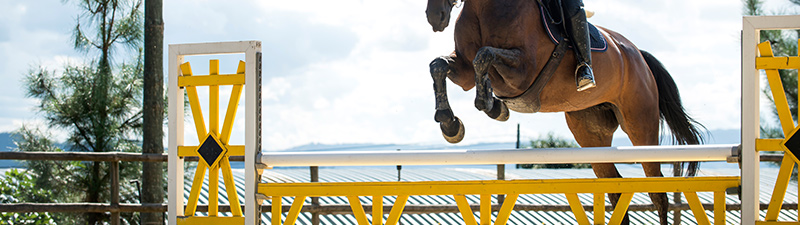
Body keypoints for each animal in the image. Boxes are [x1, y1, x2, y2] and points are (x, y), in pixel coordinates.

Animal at [424, 0, 700, 223]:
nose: (436, 17)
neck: (484, 7)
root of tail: (638, 56)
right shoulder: (464, 69)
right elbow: (439, 65)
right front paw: (450, 123)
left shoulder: (524, 71)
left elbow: (484, 55)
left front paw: (490, 104)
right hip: (591, 133)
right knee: (615, 190)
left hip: (640, 126)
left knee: (657, 191)